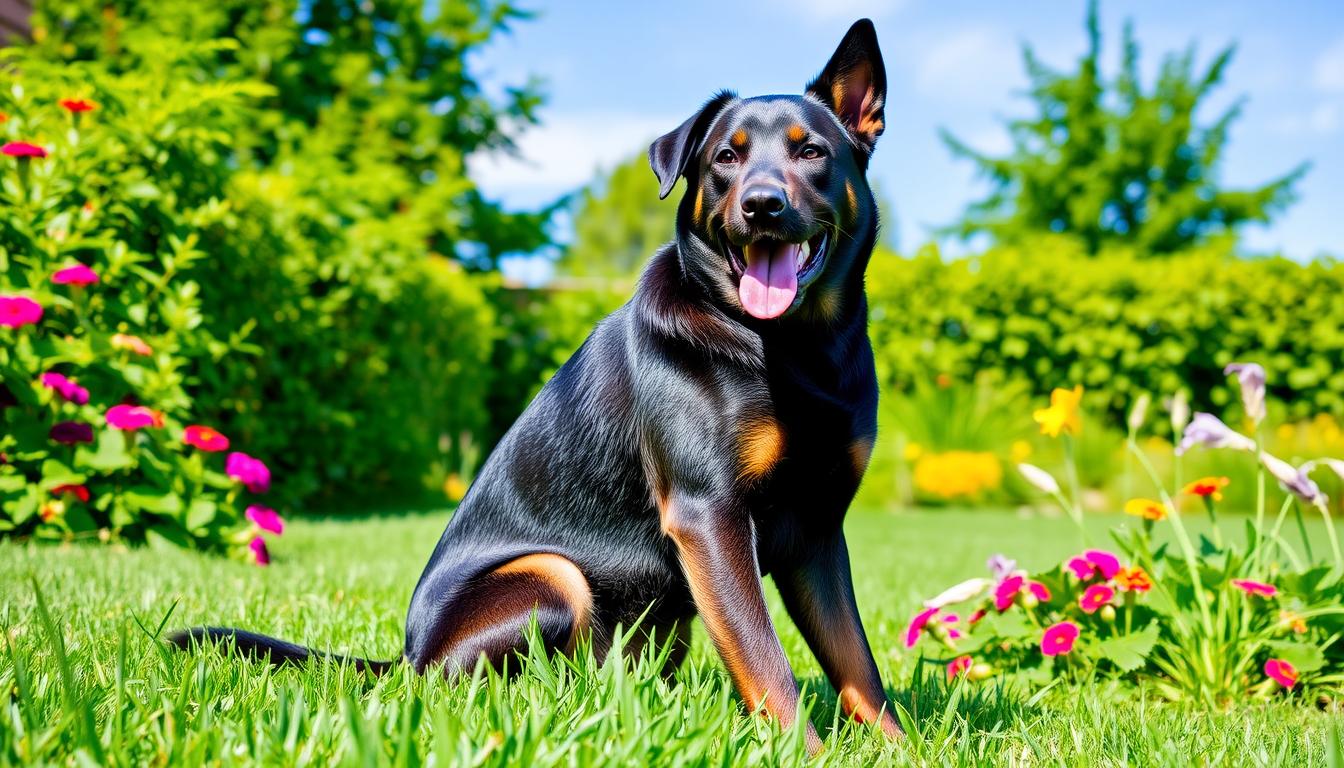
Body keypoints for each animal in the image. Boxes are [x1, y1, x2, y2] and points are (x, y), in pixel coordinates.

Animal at [170, 16, 903, 753]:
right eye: (726, 157)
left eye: (810, 151)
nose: (761, 206)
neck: (792, 347)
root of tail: (405, 655)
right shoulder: (709, 514)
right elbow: (765, 659)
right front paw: (805, 754)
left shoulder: (817, 530)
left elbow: (857, 664)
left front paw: (899, 748)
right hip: (554, 575)